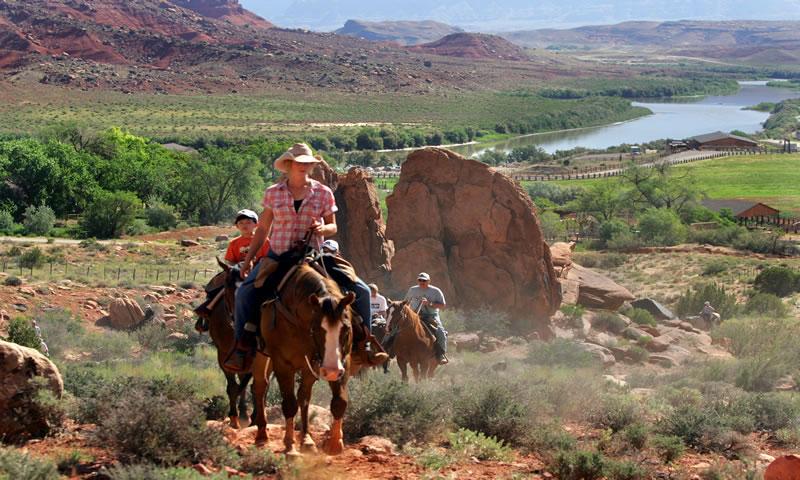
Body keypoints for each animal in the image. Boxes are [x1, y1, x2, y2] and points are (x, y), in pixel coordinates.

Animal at [248, 264, 352, 456]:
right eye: (316, 329)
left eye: (346, 329)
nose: (331, 371)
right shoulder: (282, 363)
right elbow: (290, 404)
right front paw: (290, 447)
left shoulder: (331, 362)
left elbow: (335, 401)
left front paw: (332, 443)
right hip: (261, 355)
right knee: (260, 386)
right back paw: (261, 435)